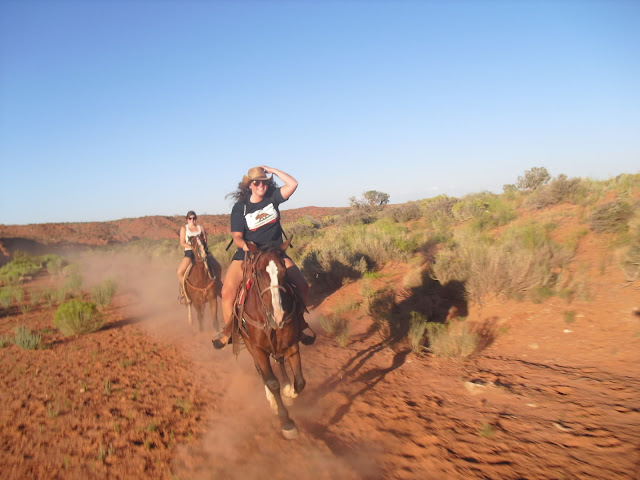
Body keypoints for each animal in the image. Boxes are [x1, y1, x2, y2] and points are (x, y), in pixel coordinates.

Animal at [229, 239, 306, 439]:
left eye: (284, 271)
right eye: (257, 272)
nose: (279, 316)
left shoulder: (291, 343)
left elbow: (300, 381)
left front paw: (289, 391)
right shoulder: (258, 349)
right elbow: (272, 382)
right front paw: (286, 422)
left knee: (280, 361)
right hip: (251, 347)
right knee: (262, 372)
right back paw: (271, 398)